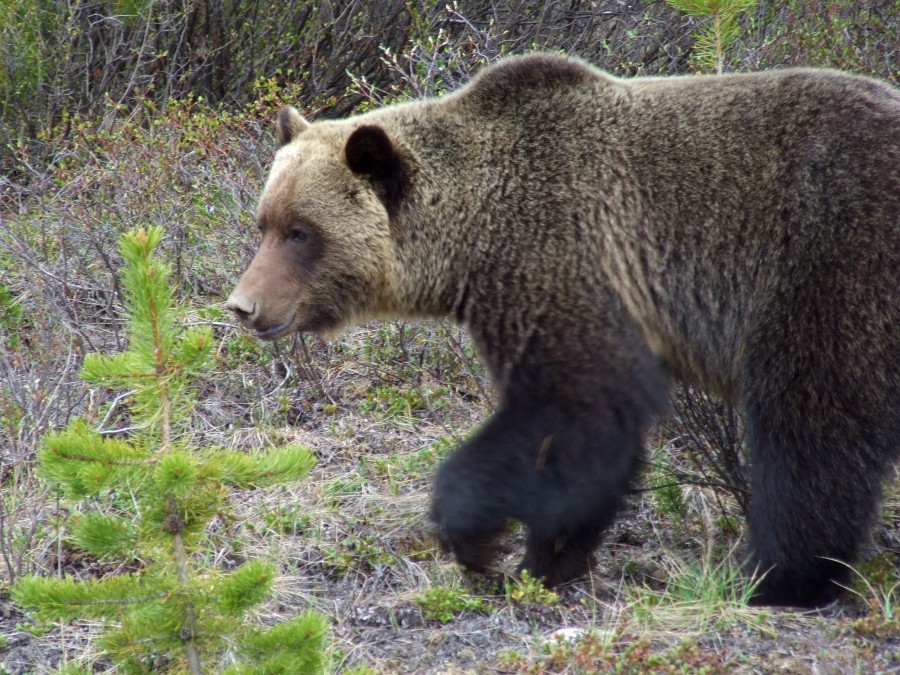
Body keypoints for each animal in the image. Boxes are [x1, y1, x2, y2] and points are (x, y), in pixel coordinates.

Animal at [227, 55, 900, 608]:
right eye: (264, 222)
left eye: (302, 232)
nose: (243, 305)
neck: (473, 237)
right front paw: (545, 556)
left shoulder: (564, 255)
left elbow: (581, 408)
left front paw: (491, 542)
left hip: (827, 258)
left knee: (809, 419)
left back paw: (774, 576)